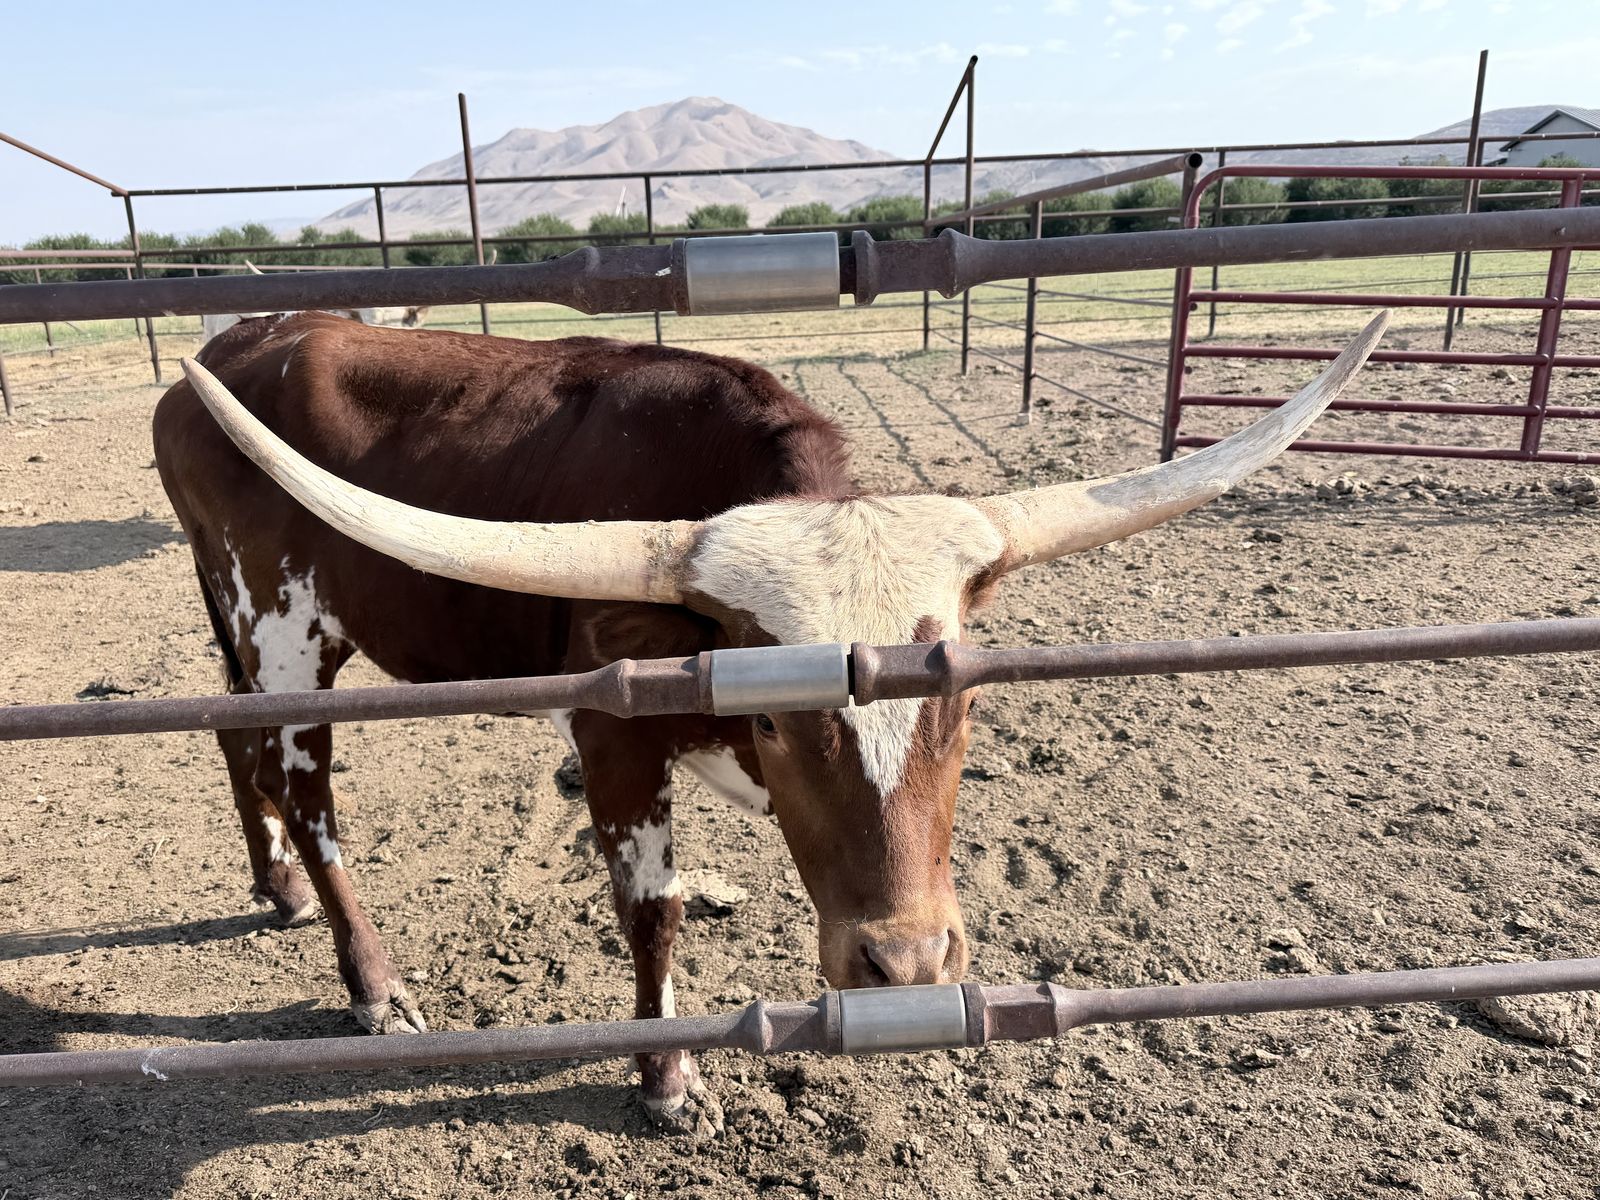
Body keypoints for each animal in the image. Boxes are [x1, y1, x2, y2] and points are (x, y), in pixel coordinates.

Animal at [153, 308, 1386, 1133]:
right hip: (284, 621)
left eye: (963, 703)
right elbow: (653, 913)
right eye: (782, 723)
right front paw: (665, 1079)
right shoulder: (611, 735)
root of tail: (225, 355)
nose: (905, 963)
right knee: (305, 785)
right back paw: (372, 983)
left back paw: (277, 886)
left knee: (231, 734)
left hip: (234, 617)